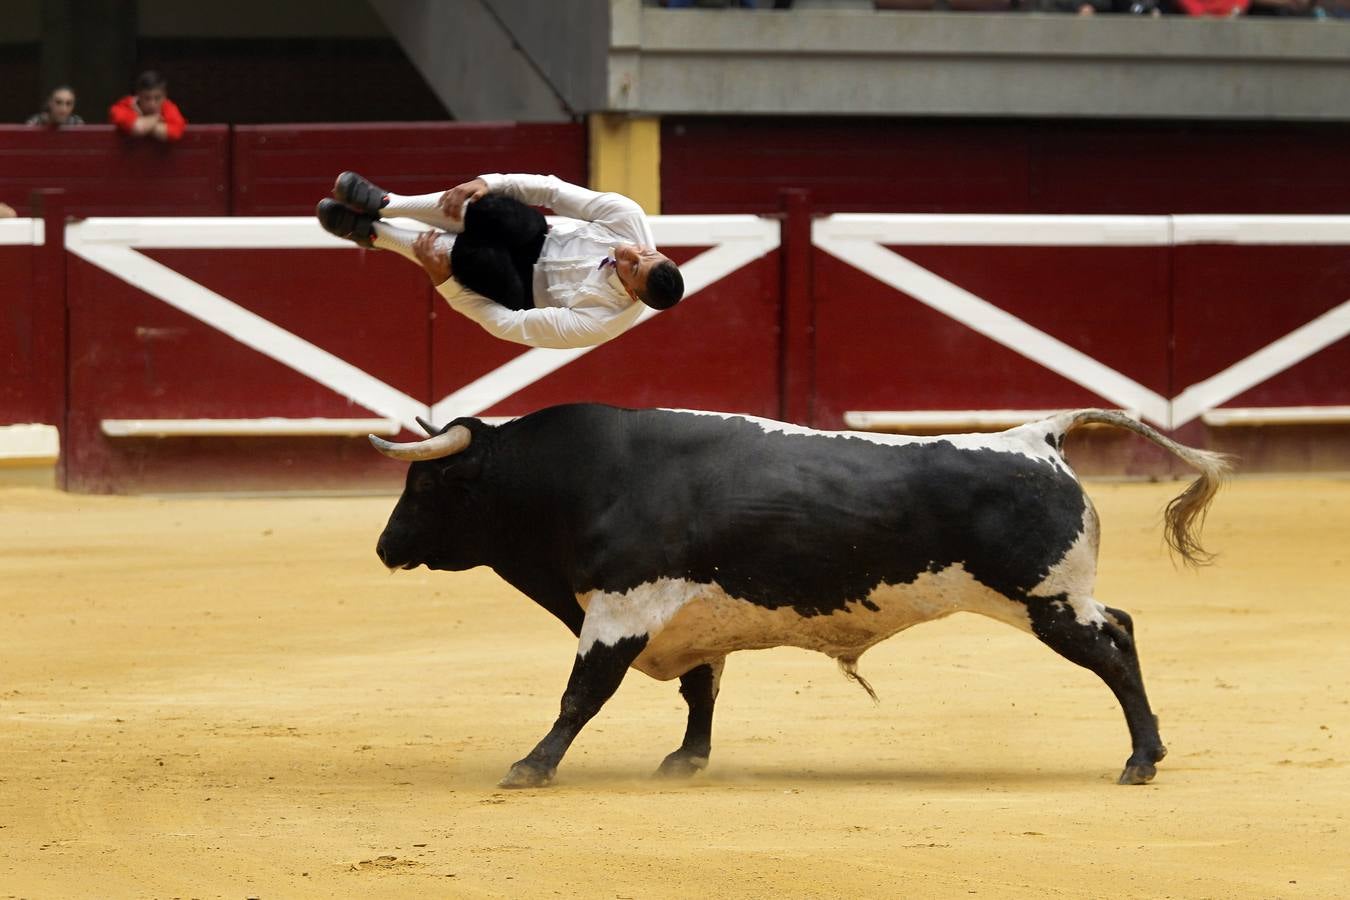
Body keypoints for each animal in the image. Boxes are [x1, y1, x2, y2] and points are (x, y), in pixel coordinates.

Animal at [372, 404, 1236, 793]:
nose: (384, 548)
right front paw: (687, 761)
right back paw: (1147, 753)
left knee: (1114, 649)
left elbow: (580, 695)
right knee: (1122, 629)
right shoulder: (690, 622)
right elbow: (699, 694)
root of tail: (1037, 435)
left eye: (429, 484)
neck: (580, 478)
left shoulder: (620, 613)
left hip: (1045, 600)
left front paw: (531, 765)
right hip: (1054, 599)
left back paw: (1141, 759)